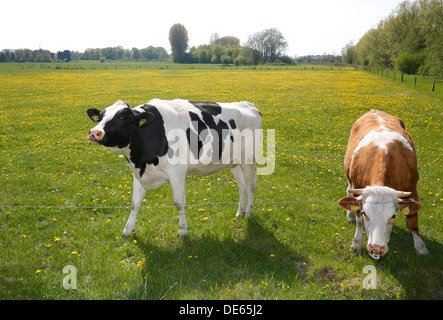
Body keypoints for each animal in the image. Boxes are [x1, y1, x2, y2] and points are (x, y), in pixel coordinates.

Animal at [87, 99, 264, 236]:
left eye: (122, 116)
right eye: (101, 116)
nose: (94, 132)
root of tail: (249, 104)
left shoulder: (177, 172)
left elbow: (179, 202)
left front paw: (183, 230)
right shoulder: (138, 173)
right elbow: (134, 203)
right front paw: (127, 230)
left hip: (248, 159)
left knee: (251, 185)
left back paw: (248, 213)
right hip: (234, 162)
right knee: (242, 185)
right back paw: (240, 212)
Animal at [340, 110, 430, 260]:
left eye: (393, 216)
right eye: (365, 213)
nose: (376, 249)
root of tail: (374, 110)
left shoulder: (412, 190)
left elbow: (412, 222)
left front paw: (421, 248)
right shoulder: (359, 190)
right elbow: (359, 221)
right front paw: (356, 244)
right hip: (349, 176)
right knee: (348, 188)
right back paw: (350, 216)